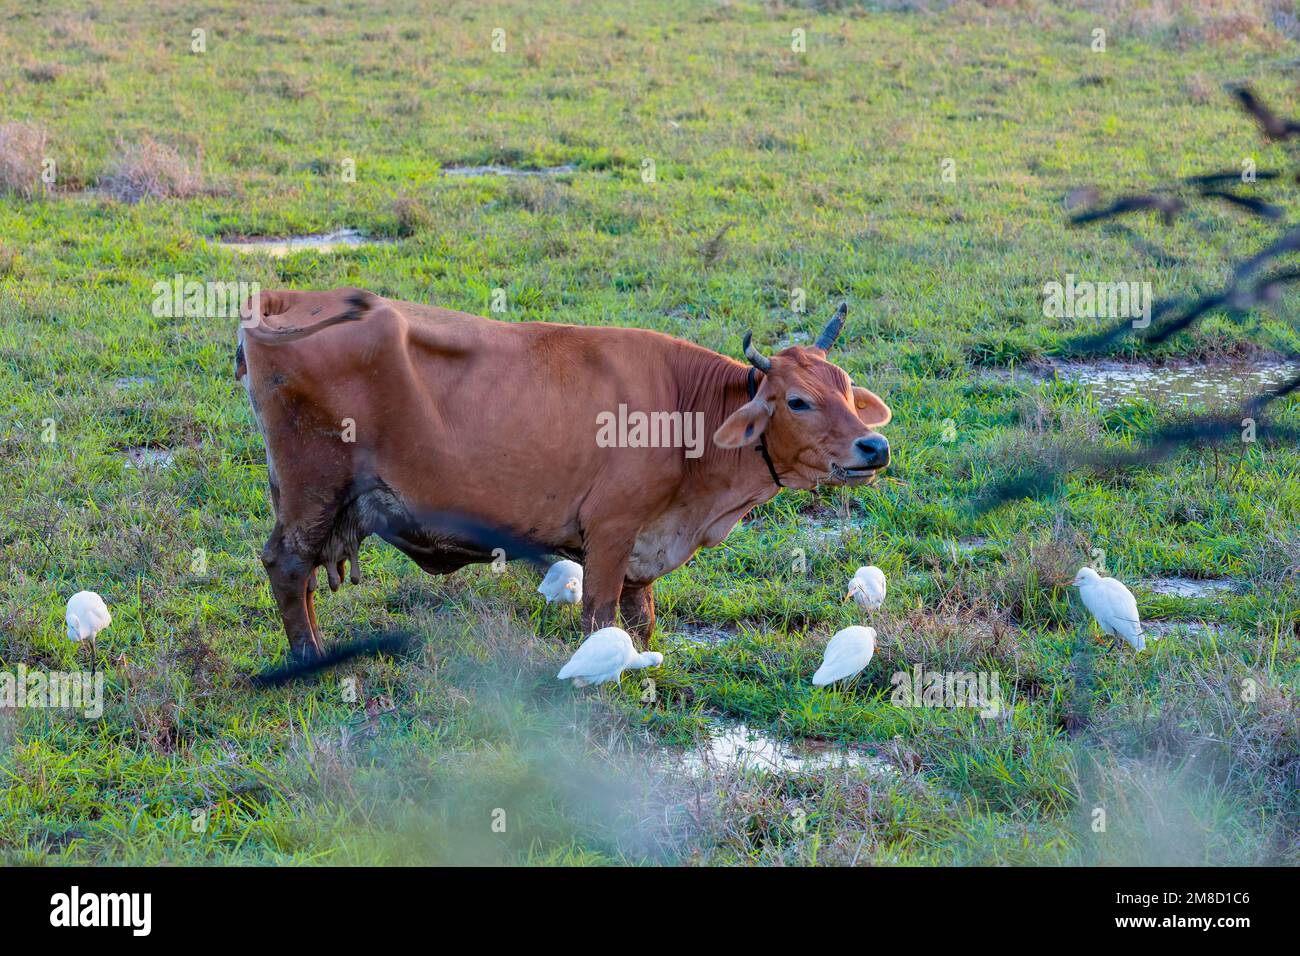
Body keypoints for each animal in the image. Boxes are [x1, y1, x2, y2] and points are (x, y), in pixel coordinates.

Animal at [233, 290, 889, 658]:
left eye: (847, 388)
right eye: (797, 401)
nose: (875, 445)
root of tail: (284, 300)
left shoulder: (643, 544)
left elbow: (642, 617)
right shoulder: (610, 531)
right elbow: (599, 617)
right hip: (312, 490)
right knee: (287, 566)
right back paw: (309, 658)